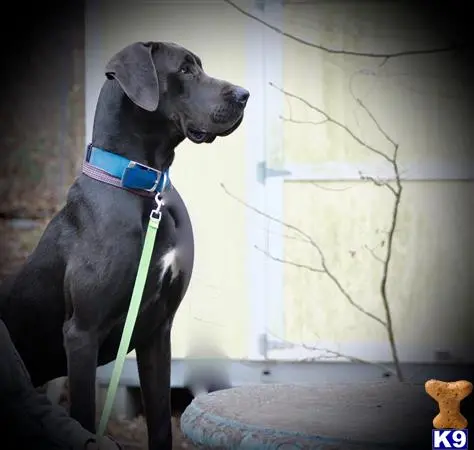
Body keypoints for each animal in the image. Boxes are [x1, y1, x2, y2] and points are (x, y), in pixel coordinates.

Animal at [0, 40, 250, 448]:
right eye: (185, 70)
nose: (245, 95)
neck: (144, 187)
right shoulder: (81, 333)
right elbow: (85, 418)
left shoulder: (157, 330)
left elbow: (161, 422)